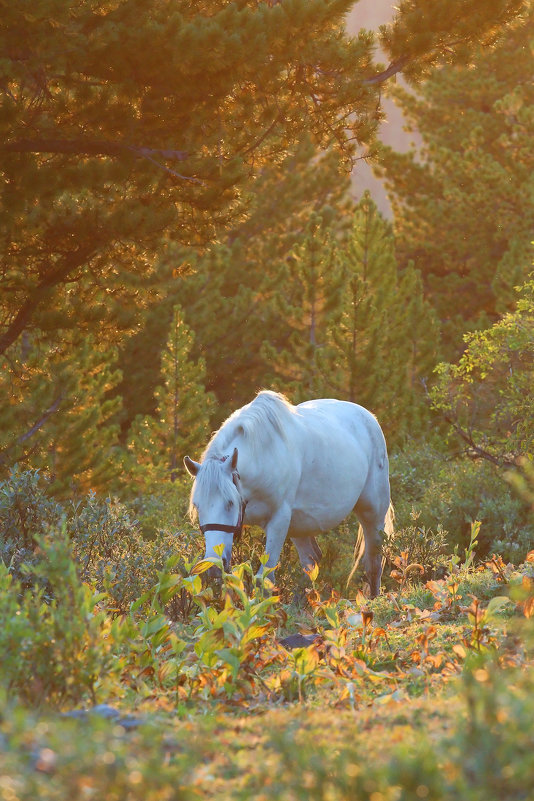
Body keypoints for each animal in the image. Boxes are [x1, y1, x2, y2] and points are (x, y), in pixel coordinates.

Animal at [184, 390, 394, 596]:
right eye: (198, 506)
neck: (263, 457)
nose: (213, 566)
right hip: (299, 526)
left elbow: (265, 579)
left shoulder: (278, 519)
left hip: (372, 512)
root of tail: (369, 417)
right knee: (311, 562)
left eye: (230, 503)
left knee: (373, 563)